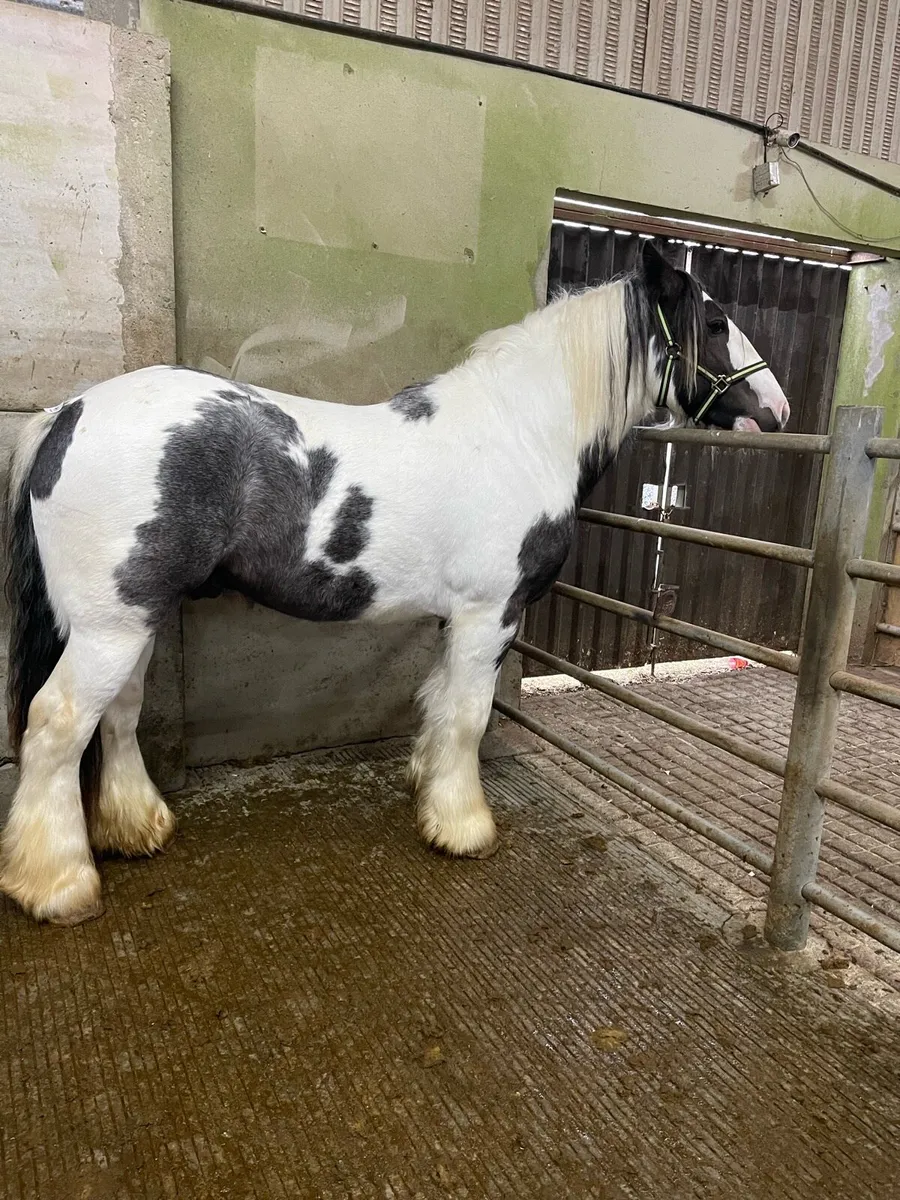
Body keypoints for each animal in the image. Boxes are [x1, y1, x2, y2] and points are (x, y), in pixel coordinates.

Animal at [0, 240, 789, 925]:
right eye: (714, 322)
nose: (778, 412)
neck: (522, 435)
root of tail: (67, 414)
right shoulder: (490, 615)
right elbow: (469, 716)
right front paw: (465, 828)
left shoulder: (457, 619)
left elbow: (439, 705)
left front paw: (433, 798)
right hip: (109, 628)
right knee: (58, 725)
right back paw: (57, 885)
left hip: (130, 619)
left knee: (118, 715)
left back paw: (136, 828)